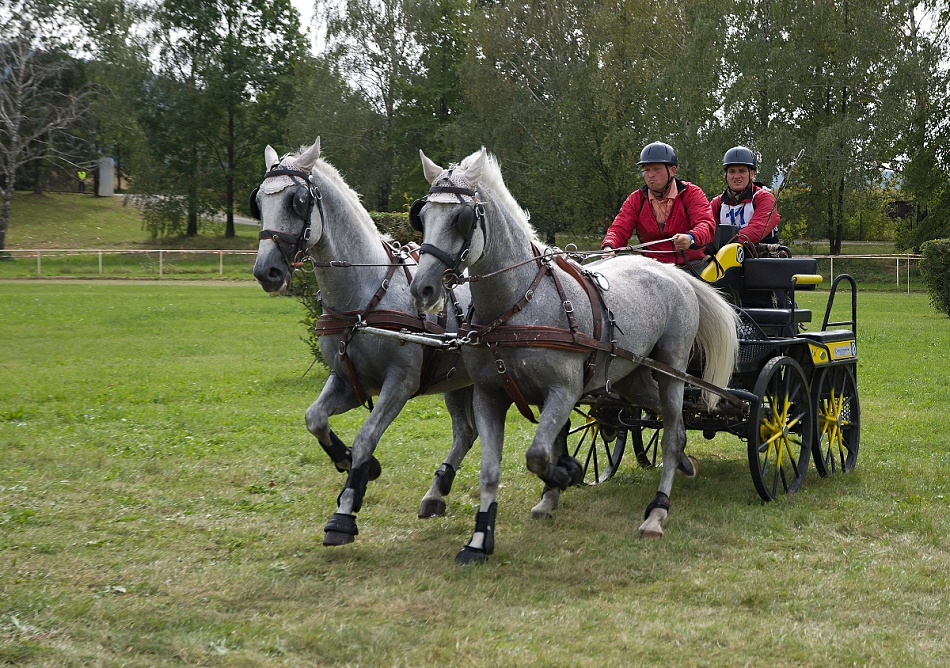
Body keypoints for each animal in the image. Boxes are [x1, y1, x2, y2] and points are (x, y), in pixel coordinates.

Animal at [250, 138, 477, 543]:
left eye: (297, 201)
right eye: (258, 202)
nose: (267, 272)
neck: (365, 295)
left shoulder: (400, 383)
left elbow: (367, 436)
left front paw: (345, 510)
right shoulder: (348, 381)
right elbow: (315, 418)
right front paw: (355, 465)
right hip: (457, 380)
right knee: (466, 433)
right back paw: (436, 493)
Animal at [409, 148, 740, 564]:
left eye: (461, 218)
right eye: (421, 216)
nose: (422, 289)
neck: (519, 304)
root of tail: (671, 271)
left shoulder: (563, 391)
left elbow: (537, 454)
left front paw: (566, 473)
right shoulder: (489, 395)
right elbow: (490, 469)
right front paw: (480, 539)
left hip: (672, 371)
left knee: (672, 432)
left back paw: (657, 512)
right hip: (632, 376)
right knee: (670, 424)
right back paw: (682, 465)